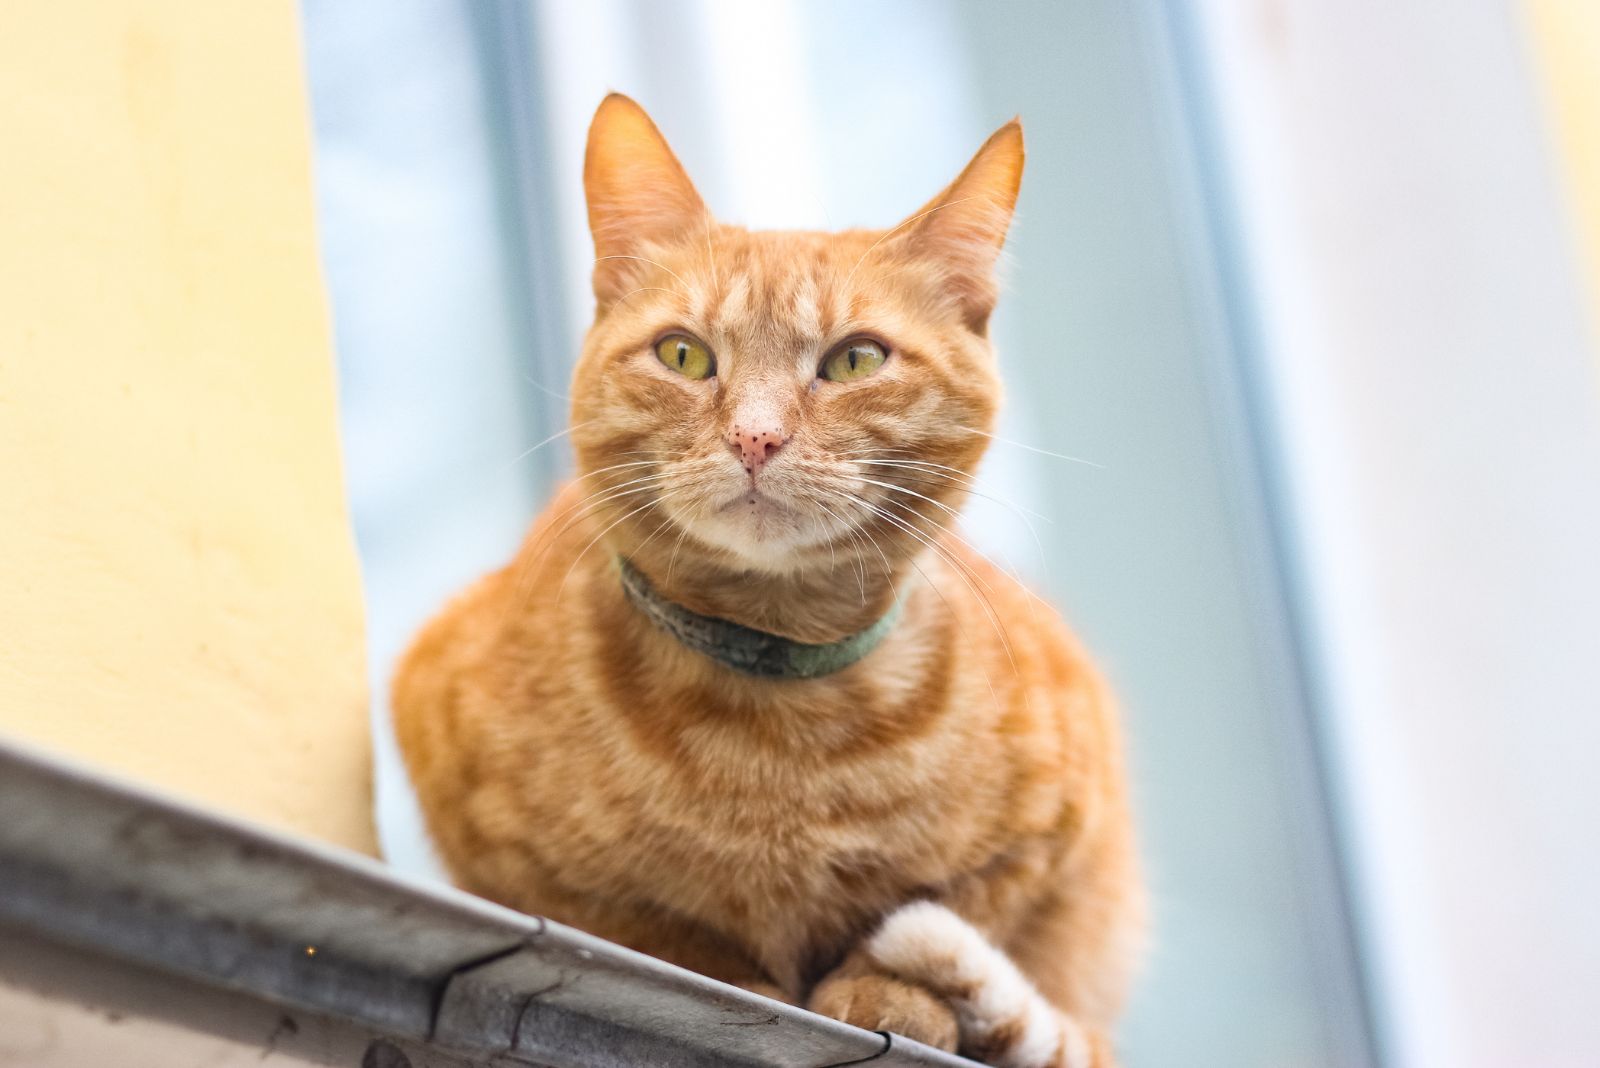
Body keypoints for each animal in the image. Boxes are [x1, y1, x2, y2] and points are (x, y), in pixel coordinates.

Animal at [393, 95, 1145, 1061]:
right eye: (683, 355)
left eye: (856, 360)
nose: (755, 437)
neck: (779, 725)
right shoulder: (475, 804)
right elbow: (645, 927)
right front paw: (735, 980)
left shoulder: (1060, 830)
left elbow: (966, 907)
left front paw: (889, 990)